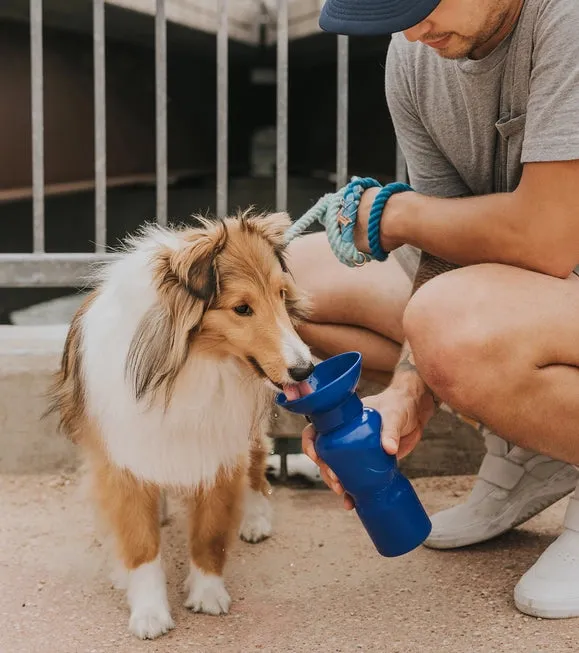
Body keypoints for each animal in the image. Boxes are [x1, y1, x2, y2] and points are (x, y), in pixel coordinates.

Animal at [47, 209, 314, 636]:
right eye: (242, 308)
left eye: (282, 295)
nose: (305, 369)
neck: (190, 363)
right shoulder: (122, 458)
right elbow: (140, 542)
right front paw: (149, 611)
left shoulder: (220, 450)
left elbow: (210, 533)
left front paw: (207, 593)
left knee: (258, 462)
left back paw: (255, 518)